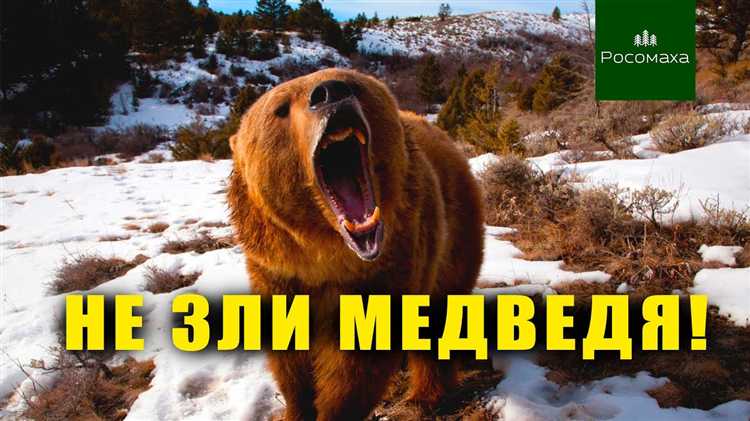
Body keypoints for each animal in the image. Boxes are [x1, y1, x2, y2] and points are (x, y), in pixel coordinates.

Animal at [227, 68, 484, 421]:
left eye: (353, 84)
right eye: (280, 109)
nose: (330, 93)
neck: (326, 254)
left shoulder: (390, 262)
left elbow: (358, 363)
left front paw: (334, 409)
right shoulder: (277, 270)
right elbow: (291, 359)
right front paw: (295, 409)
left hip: (454, 232)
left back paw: (425, 396)